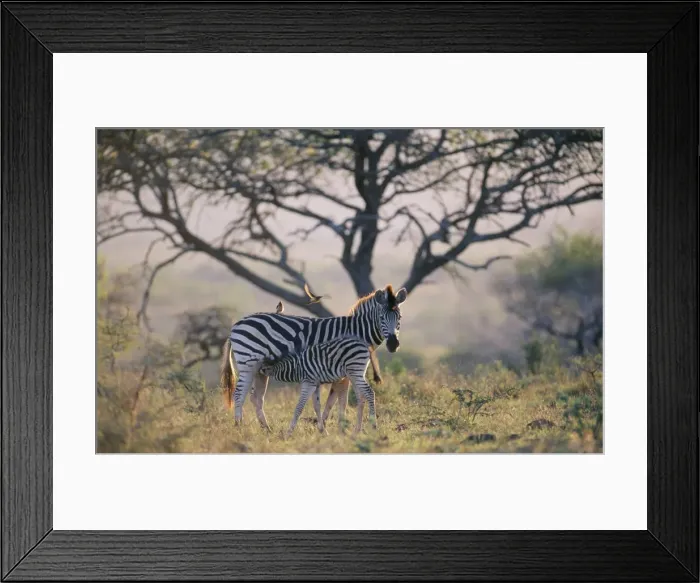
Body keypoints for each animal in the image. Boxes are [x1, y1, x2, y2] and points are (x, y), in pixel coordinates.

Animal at [220, 284, 407, 429]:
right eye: (381, 317)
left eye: (399, 317)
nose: (393, 344)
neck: (356, 331)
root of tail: (236, 325)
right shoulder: (344, 369)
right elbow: (340, 400)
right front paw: (338, 428)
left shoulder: (342, 371)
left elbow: (334, 400)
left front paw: (329, 427)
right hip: (247, 363)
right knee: (239, 394)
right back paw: (239, 427)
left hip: (260, 369)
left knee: (256, 398)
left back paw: (267, 430)